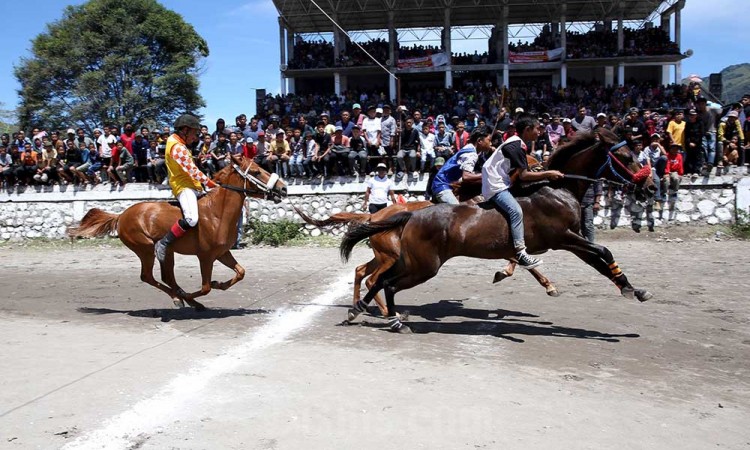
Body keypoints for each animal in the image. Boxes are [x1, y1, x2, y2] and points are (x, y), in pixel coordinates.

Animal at [68, 154, 288, 310]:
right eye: (257, 172)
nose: (284, 188)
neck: (217, 213)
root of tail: (121, 215)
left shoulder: (222, 252)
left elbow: (240, 273)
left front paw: (218, 283)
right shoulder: (205, 256)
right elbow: (205, 287)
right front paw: (192, 294)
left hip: (167, 252)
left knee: (167, 278)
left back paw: (182, 297)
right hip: (145, 249)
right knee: (148, 277)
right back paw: (179, 298)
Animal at [342, 128, 656, 332]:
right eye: (627, 156)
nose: (651, 186)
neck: (558, 188)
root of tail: (407, 215)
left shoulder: (572, 241)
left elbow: (599, 262)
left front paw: (632, 288)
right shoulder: (564, 238)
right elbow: (603, 250)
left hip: (409, 260)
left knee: (377, 280)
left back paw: (360, 311)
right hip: (422, 266)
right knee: (387, 283)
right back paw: (392, 319)